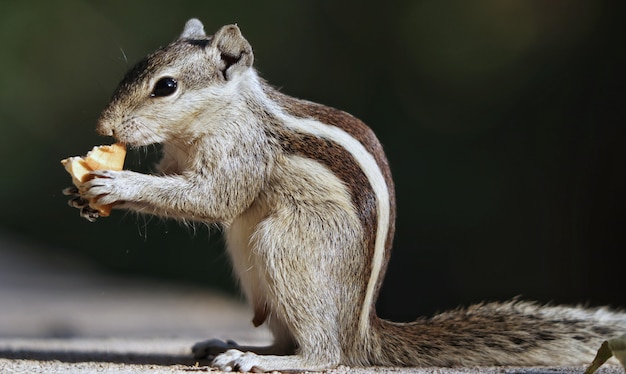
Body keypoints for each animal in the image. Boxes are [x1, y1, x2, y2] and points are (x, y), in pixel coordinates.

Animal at [63, 19, 624, 372]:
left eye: (166, 86)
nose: (103, 127)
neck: (224, 113)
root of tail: (362, 333)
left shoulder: (242, 153)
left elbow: (213, 199)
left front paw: (118, 183)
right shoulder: (178, 158)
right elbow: (176, 180)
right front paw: (82, 193)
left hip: (286, 248)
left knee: (323, 355)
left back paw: (260, 359)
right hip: (254, 264)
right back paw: (233, 344)